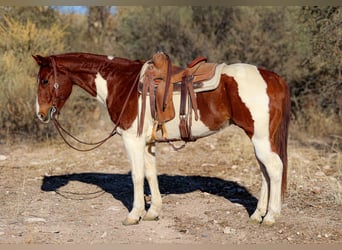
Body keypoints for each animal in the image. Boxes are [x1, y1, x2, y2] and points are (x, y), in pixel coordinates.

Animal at [33, 52, 292, 227]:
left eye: (44, 80)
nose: (41, 114)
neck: (122, 82)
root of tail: (274, 78)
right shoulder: (147, 142)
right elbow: (150, 174)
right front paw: (153, 212)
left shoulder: (132, 139)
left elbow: (137, 176)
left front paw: (134, 214)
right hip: (260, 139)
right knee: (265, 172)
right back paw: (257, 214)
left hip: (261, 139)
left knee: (274, 168)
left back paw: (271, 216)